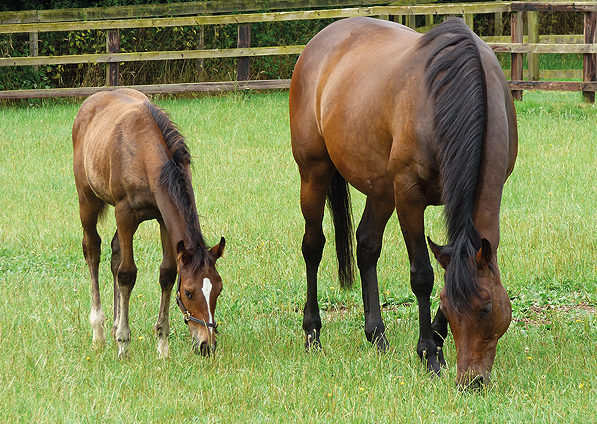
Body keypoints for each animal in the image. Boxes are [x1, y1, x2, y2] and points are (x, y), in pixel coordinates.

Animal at [72, 88, 225, 358]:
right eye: (188, 292)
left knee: (114, 251)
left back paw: (114, 325)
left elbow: (167, 272)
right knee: (92, 249)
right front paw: (123, 344)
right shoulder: (124, 213)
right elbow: (127, 273)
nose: (207, 345)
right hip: (87, 200)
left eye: (219, 288)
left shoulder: (163, 218)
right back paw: (99, 332)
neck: (145, 154)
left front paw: (162, 346)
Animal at [288, 16, 516, 388]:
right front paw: (429, 353)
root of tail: (322, 38)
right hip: (314, 173)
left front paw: (436, 342)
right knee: (313, 246)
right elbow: (422, 274)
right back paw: (312, 334)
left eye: (486, 308)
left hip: (380, 188)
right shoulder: (409, 196)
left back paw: (376, 335)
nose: (471, 381)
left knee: (366, 246)